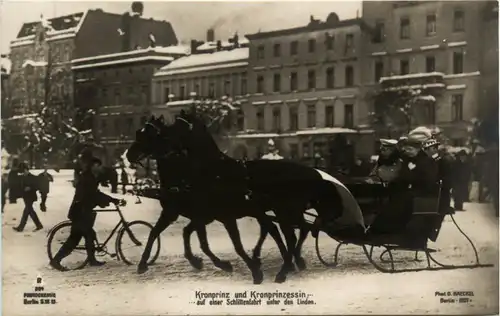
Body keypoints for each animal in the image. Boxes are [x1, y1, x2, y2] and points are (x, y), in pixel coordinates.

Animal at [127, 113, 364, 284]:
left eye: (154, 134)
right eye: (140, 132)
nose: (129, 155)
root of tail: (311, 172)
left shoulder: (219, 216)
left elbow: (234, 245)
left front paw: (251, 270)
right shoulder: (195, 214)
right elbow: (178, 235)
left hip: (284, 210)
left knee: (292, 233)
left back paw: (286, 266)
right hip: (278, 211)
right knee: (286, 231)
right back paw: (288, 262)